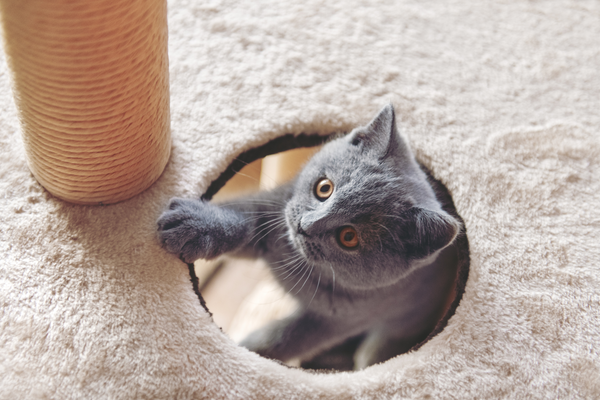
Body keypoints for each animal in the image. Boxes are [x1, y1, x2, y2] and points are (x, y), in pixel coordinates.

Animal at [157, 104, 462, 370]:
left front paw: (246, 351)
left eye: (349, 237)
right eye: (324, 188)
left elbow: (281, 339)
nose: (305, 225)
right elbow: (238, 221)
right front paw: (193, 226)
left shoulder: (338, 321)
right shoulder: (272, 209)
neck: (297, 259)